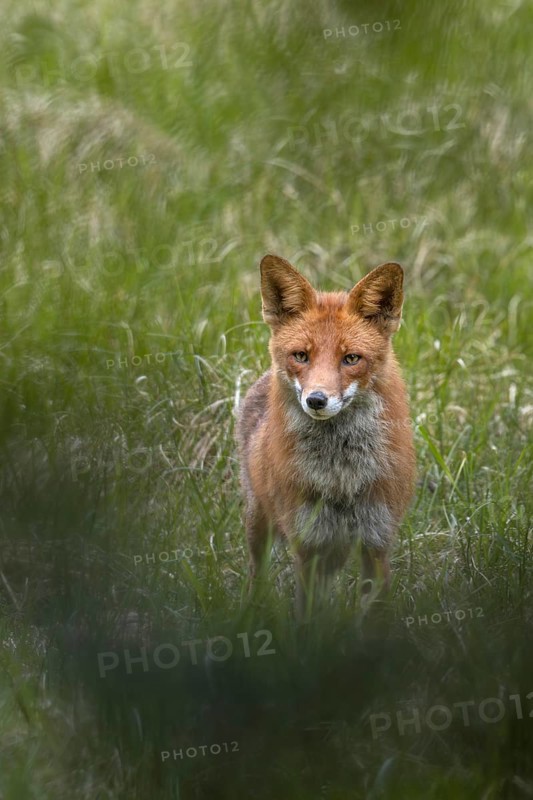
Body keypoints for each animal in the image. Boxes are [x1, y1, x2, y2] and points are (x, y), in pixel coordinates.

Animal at [236, 254, 416, 616]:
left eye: (351, 358)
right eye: (301, 356)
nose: (316, 400)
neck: (341, 478)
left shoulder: (377, 543)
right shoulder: (309, 546)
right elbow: (309, 615)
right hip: (258, 521)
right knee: (256, 573)